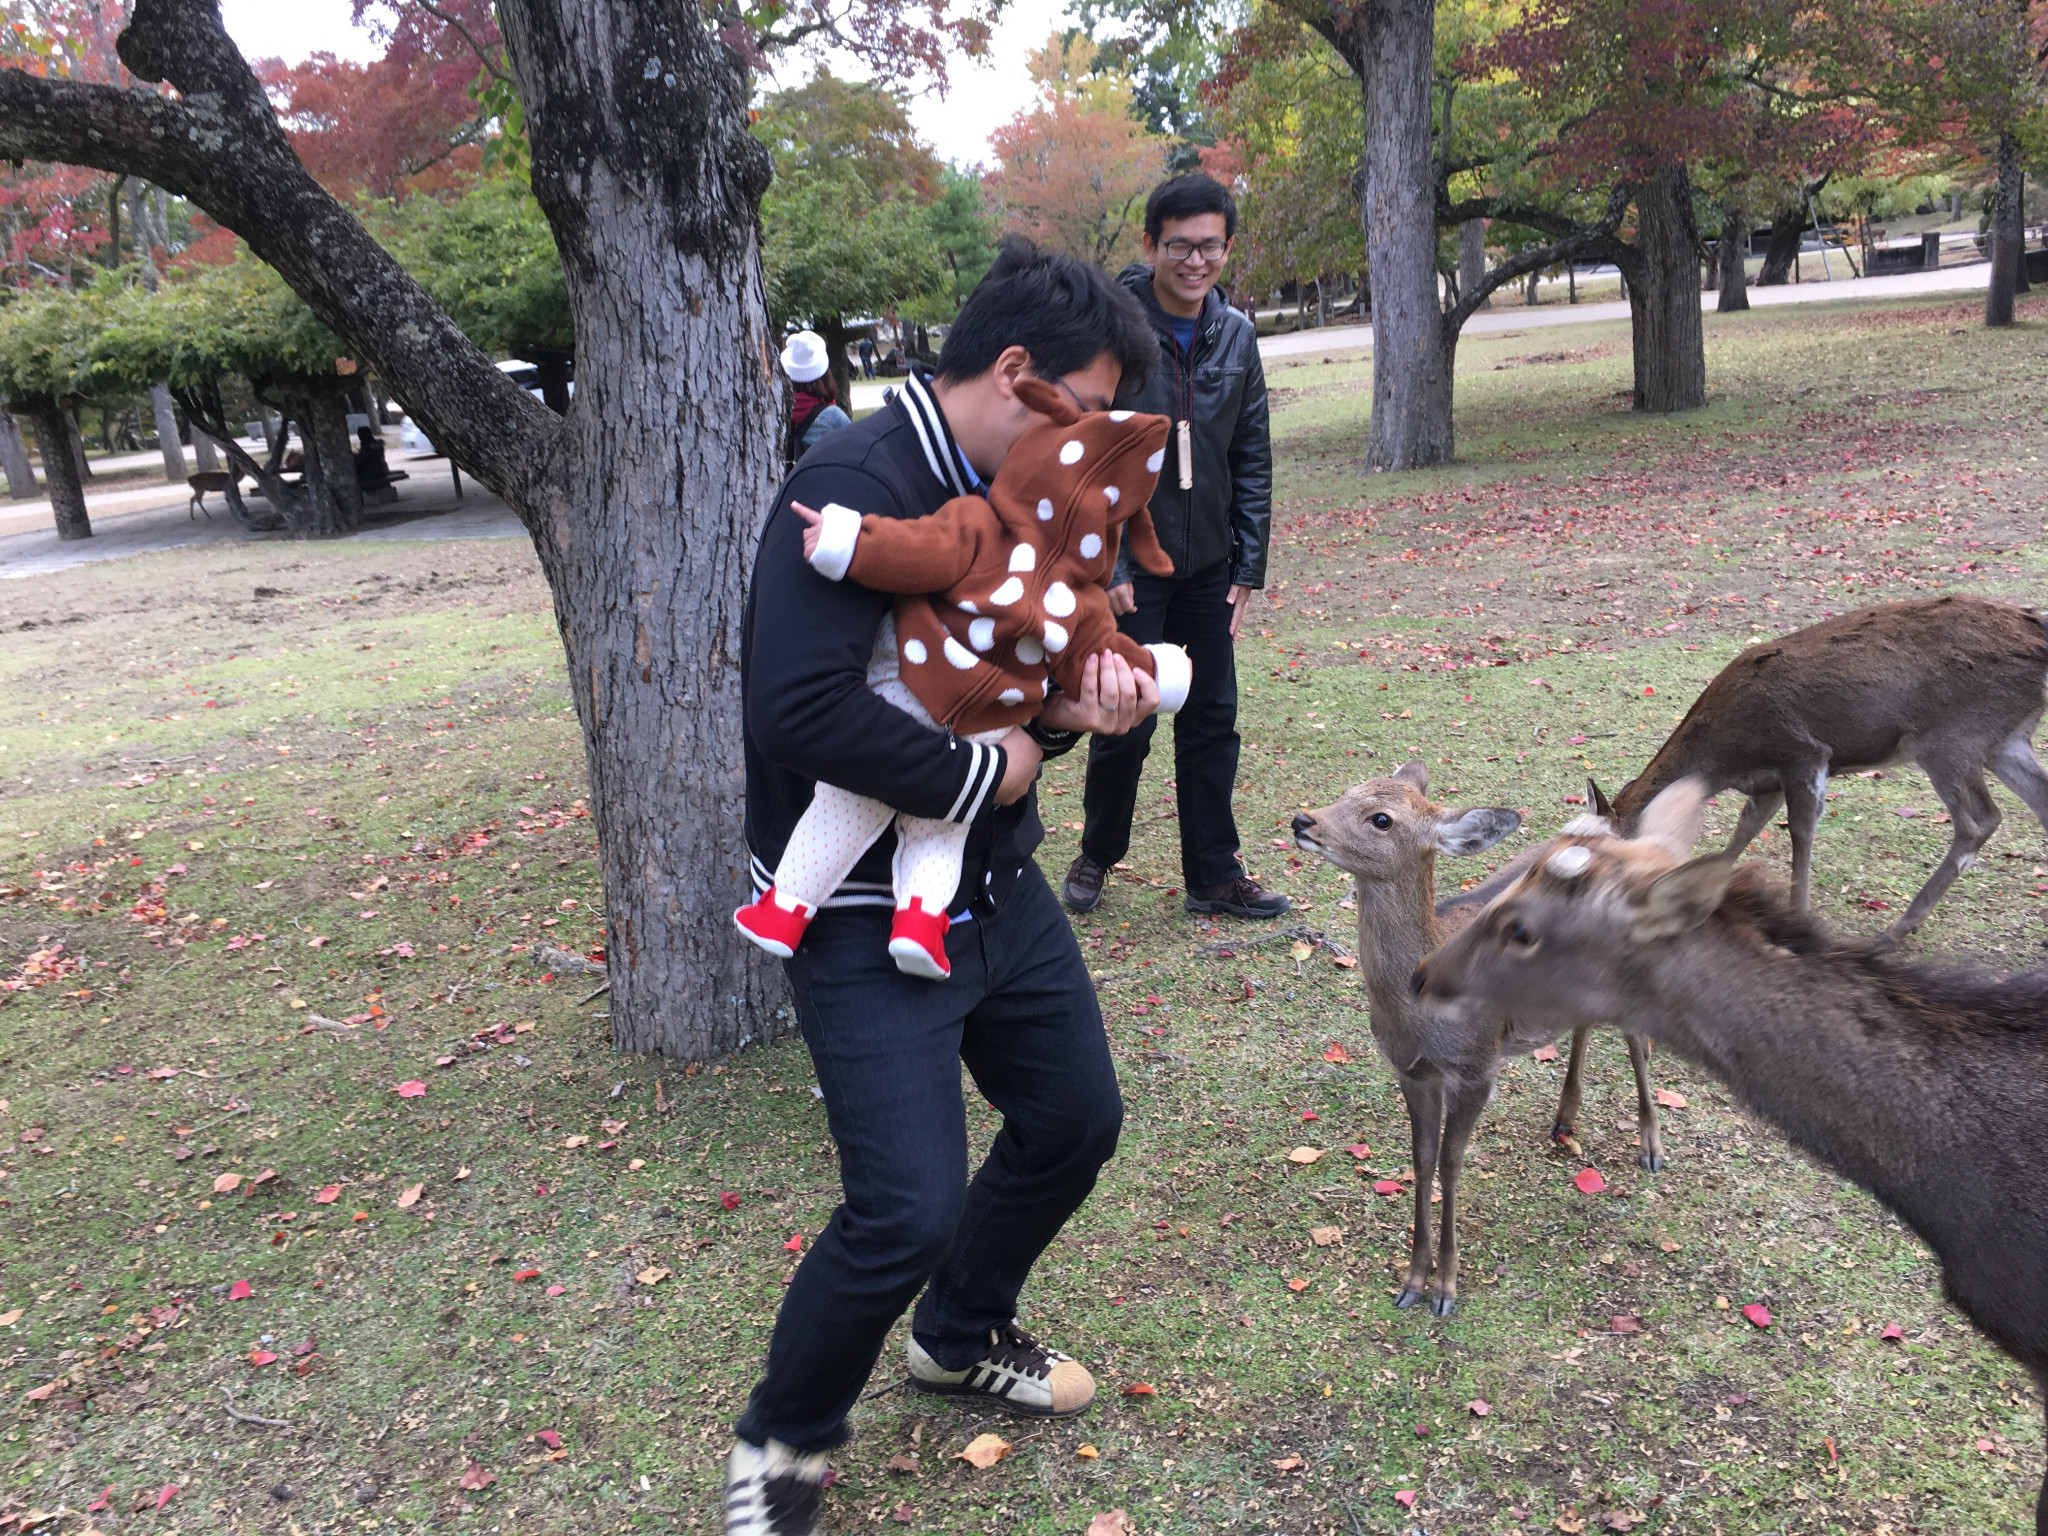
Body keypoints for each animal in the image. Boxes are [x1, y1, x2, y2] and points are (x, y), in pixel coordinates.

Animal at [1294, 765, 1662, 1318]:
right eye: (1347, 791)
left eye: (1381, 818)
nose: (1303, 820)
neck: (1418, 1014)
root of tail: (1613, 829)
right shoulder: (1411, 1071)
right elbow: (1422, 1157)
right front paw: (1412, 1281)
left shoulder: (1477, 1068)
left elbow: (1451, 1162)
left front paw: (1445, 1288)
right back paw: (1565, 1118)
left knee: (1637, 1036)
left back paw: (1651, 1148)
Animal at [1589, 593, 2048, 946]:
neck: (1723, 759)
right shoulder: (1767, 783)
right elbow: (1745, 828)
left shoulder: (1802, 753)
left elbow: (1800, 832)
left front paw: (1798, 917)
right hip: (2004, 739)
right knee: (2037, 801)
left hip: (1951, 738)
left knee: (1979, 819)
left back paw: (1895, 929)